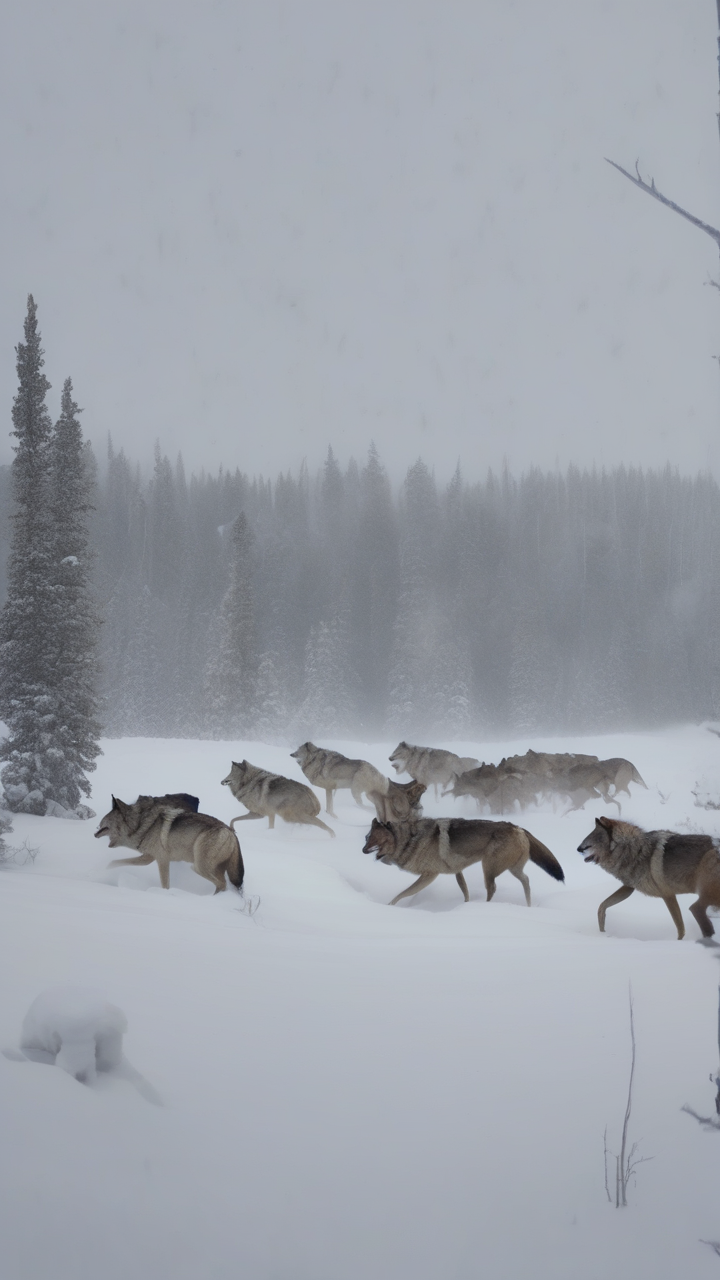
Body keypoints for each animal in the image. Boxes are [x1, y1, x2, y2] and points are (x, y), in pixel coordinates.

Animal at [95, 794, 243, 892]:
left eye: (103, 823)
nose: (95, 832)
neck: (143, 825)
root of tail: (231, 832)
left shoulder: (160, 860)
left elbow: (165, 885)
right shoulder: (148, 857)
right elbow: (114, 863)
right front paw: (101, 871)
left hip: (198, 867)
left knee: (222, 884)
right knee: (224, 885)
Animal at [363, 816, 564, 906]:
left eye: (376, 840)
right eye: (367, 838)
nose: (363, 850)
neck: (410, 840)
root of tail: (518, 828)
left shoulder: (430, 875)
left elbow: (402, 894)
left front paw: (389, 906)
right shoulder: (456, 872)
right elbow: (465, 892)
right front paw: (465, 906)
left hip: (489, 869)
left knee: (493, 888)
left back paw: (486, 906)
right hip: (512, 869)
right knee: (526, 881)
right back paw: (528, 905)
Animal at [577, 815, 720, 940]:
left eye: (592, 841)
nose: (578, 849)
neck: (635, 850)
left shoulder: (668, 895)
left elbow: (680, 928)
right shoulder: (629, 887)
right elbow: (602, 906)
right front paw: (602, 931)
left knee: (695, 908)